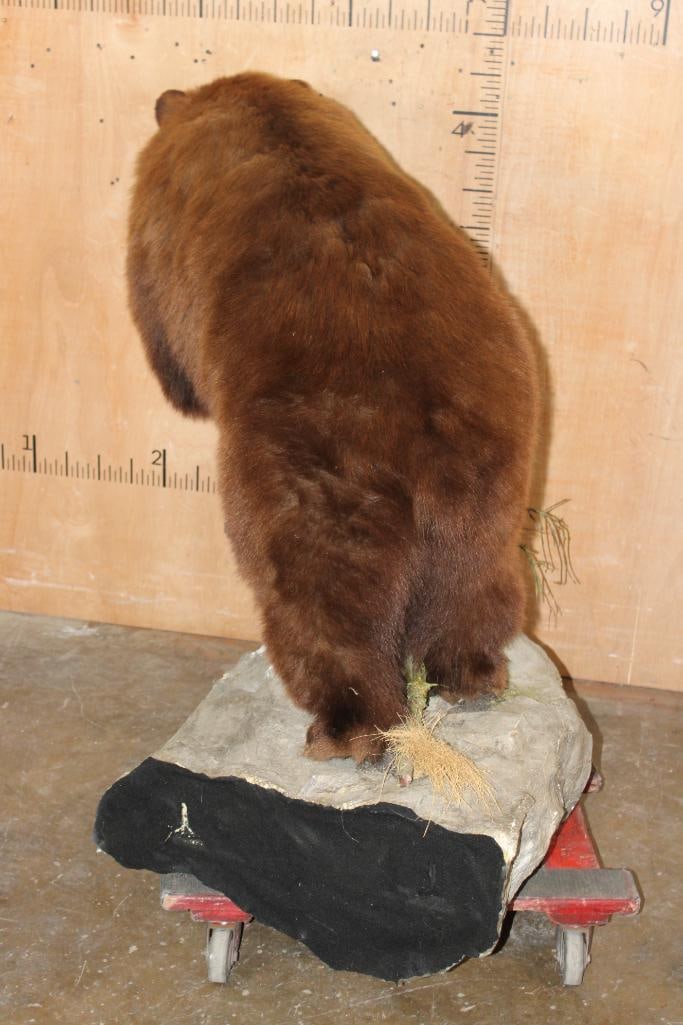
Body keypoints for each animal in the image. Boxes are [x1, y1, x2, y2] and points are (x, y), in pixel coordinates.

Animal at [126, 73, 539, 763]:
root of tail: (423, 427)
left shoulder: (159, 223)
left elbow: (154, 307)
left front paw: (179, 388)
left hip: (314, 485)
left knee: (325, 605)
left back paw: (344, 729)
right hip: (493, 469)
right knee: (474, 582)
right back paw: (474, 675)